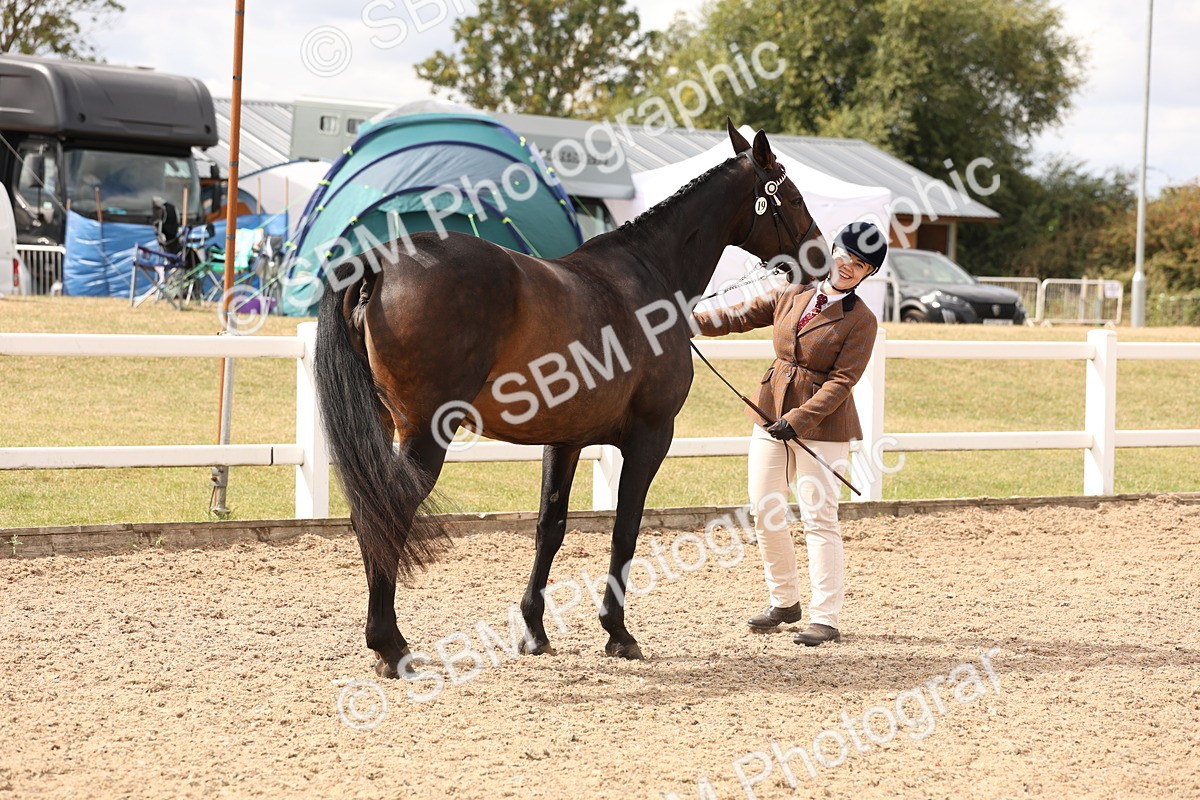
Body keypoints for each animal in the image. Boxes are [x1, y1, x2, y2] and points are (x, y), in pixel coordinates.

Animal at [314, 121, 827, 678]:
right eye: (792, 195)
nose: (821, 256)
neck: (649, 277)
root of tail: (379, 263)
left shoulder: (565, 440)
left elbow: (551, 528)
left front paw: (535, 632)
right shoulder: (650, 438)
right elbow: (625, 529)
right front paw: (618, 632)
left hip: (384, 428)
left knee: (371, 514)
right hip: (425, 434)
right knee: (391, 514)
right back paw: (391, 645)